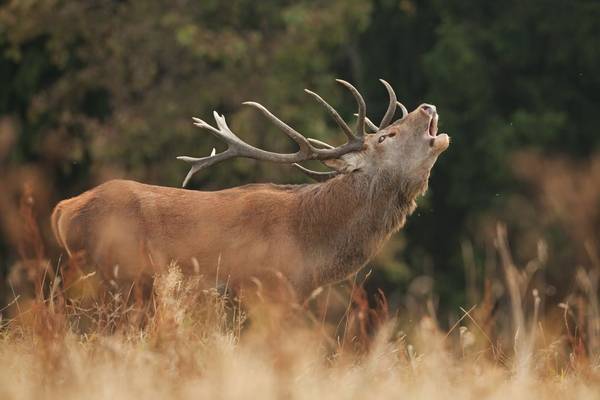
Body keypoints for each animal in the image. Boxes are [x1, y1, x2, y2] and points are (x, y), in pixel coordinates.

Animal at [51, 79, 448, 298]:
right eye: (385, 136)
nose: (427, 105)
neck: (310, 247)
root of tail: (63, 209)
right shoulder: (263, 288)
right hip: (116, 274)